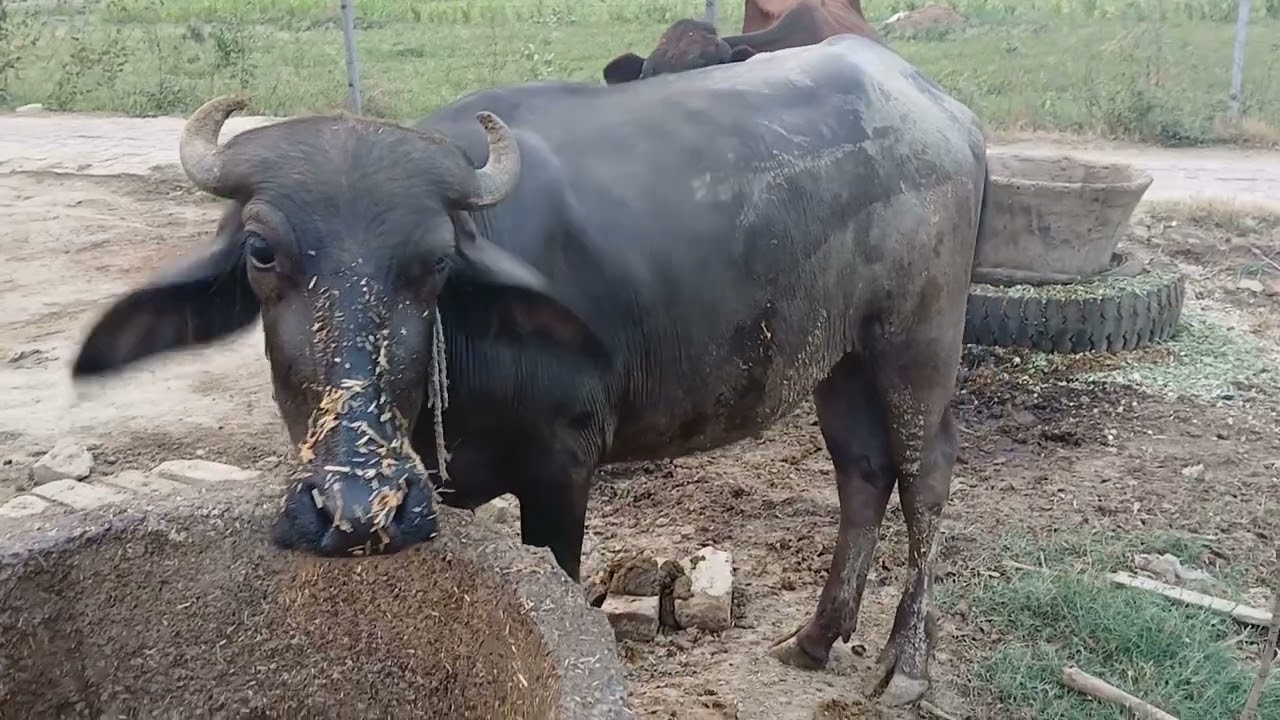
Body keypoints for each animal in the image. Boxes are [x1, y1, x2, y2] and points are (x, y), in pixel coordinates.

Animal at [73, 35, 988, 707]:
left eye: (437, 263)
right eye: (262, 251)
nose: (359, 508)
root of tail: (940, 109)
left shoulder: (562, 470)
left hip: (917, 341)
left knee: (927, 475)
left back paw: (906, 667)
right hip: (841, 356)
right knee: (862, 473)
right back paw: (814, 638)